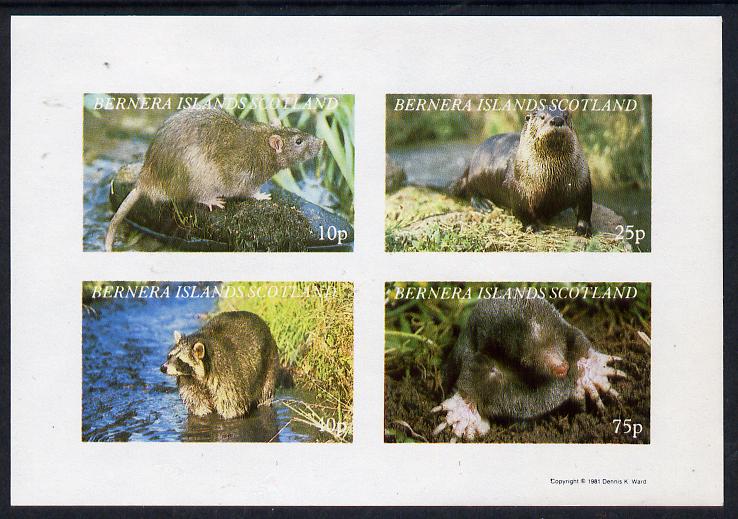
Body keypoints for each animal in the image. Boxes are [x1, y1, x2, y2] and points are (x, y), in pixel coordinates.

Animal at [105, 107, 324, 251]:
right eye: (299, 141)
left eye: (298, 133)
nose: (322, 141)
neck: (263, 141)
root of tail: (147, 179)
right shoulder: (247, 176)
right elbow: (249, 192)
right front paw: (262, 196)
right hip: (196, 178)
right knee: (196, 197)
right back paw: (212, 200)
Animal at [432, 297, 626, 441]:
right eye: (524, 360)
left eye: (560, 342)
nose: (562, 367)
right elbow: (471, 381)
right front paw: (463, 412)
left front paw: (588, 372)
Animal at [449, 106, 593, 237]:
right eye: (542, 117)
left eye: (566, 116)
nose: (557, 120)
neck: (552, 181)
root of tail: (470, 164)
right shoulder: (519, 189)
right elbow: (522, 211)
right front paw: (532, 228)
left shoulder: (583, 183)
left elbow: (585, 210)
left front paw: (583, 229)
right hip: (475, 175)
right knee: (471, 191)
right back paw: (483, 204)